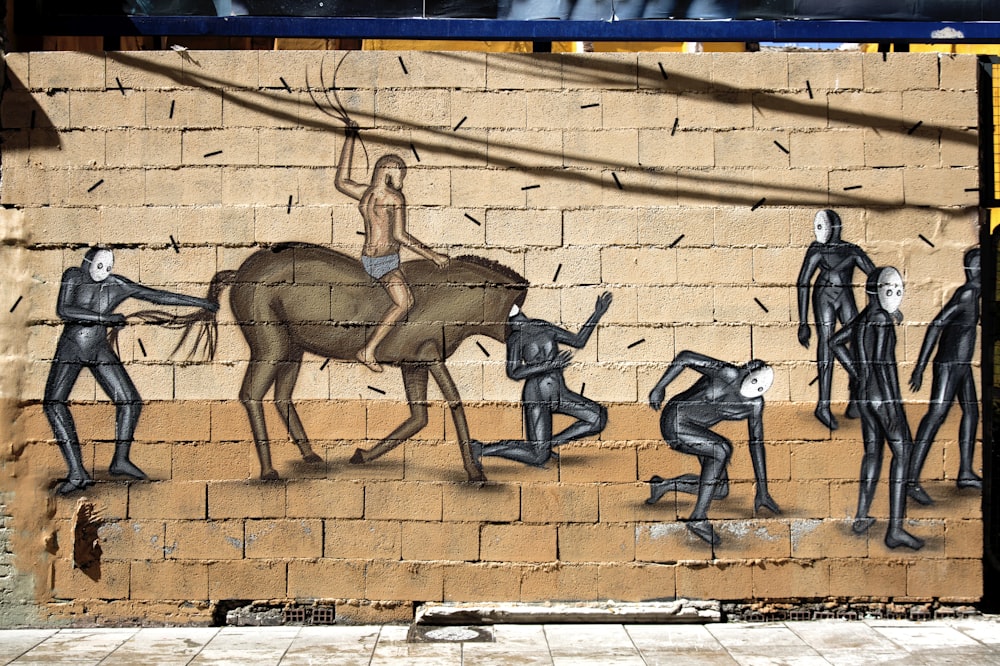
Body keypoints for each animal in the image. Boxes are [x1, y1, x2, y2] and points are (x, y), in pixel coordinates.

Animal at [189, 241, 532, 480]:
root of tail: (239, 272)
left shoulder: (415, 363)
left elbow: (419, 417)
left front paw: (362, 454)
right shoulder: (429, 358)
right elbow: (455, 403)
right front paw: (474, 471)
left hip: (292, 349)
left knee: (281, 396)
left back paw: (310, 455)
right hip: (270, 346)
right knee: (251, 394)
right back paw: (268, 471)